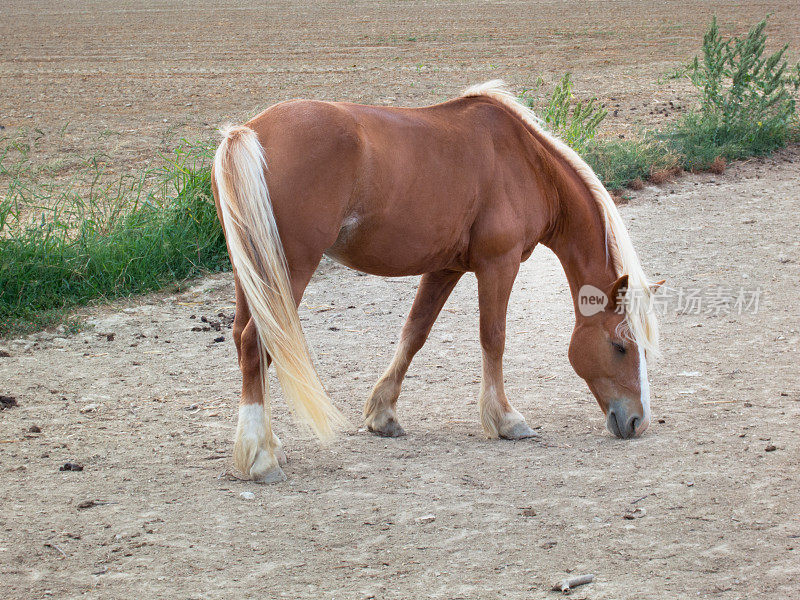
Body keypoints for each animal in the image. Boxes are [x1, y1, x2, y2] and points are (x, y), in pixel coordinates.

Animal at [209, 79, 660, 482]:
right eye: (620, 346)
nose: (637, 421)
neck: (526, 162)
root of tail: (248, 133)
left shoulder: (446, 268)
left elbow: (415, 333)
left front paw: (382, 414)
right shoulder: (499, 264)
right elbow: (493, 337)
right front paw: (505, 420)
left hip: (252, 272)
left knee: (243, 339)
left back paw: (268, 444)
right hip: (288, 270)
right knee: (256, 342)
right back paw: (260, 457)